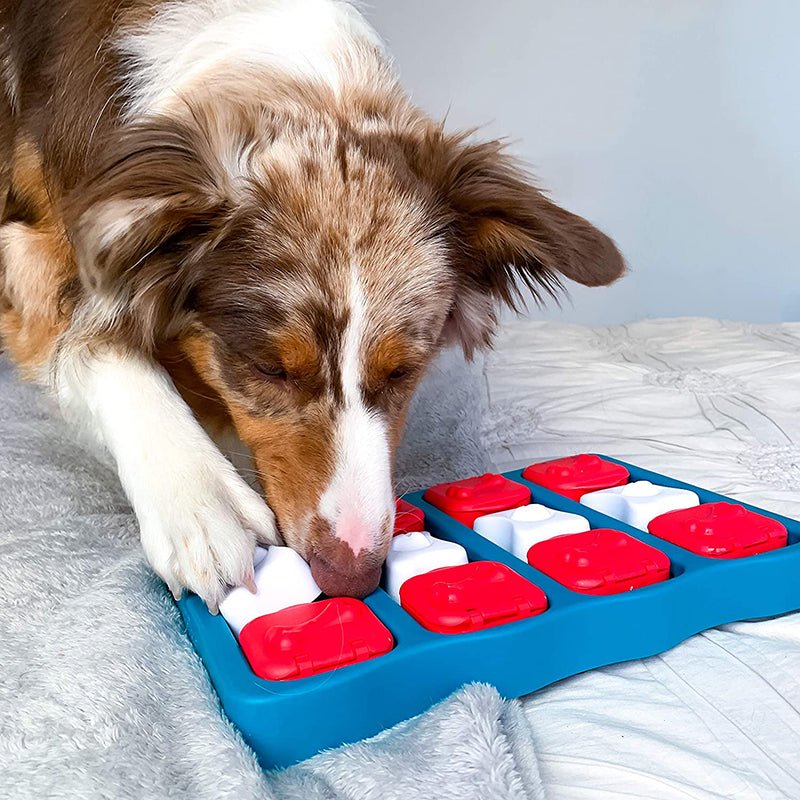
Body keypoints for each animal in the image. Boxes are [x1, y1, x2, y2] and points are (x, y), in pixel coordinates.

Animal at [0, 0, 624, 608]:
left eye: (403, 372)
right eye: (269, 369)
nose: (350, 577)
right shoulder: (34, 244)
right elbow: (95, 348)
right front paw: (200, 501)